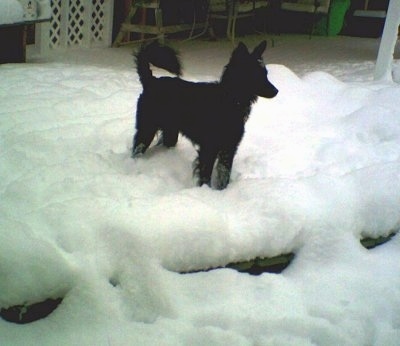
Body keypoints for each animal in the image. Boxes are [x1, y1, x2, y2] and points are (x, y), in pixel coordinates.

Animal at [131, 42, 278, 191]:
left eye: (266, 74)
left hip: (170, 132)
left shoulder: (229, 148)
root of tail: (151, 81)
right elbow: (206, 175)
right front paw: (205, 190)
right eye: (255, 74)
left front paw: (222, 192)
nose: (276, 91)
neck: (230, 100)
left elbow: (224, 174)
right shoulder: (209, 148)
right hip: (146, 129)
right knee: (137, 149)